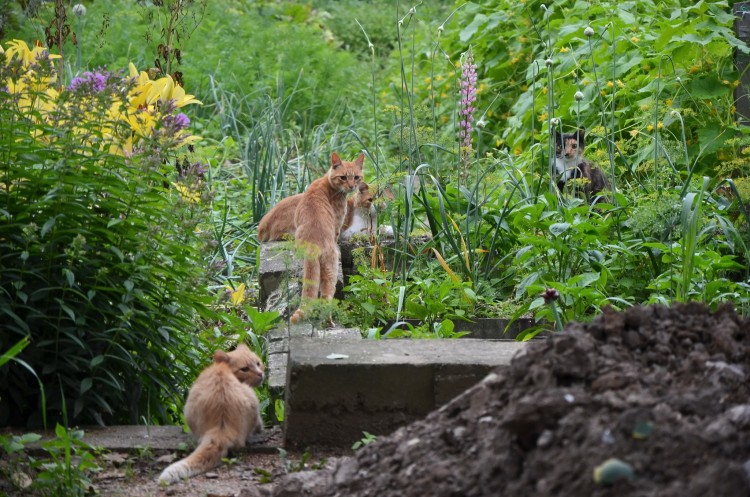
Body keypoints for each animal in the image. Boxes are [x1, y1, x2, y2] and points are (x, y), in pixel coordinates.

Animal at [290, 151, 364, 322]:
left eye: (356, 177)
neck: (326, 182)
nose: (352, 186)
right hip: (331, 270)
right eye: (343, 177)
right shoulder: (337, 227)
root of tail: (313, 245)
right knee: (326, 298)